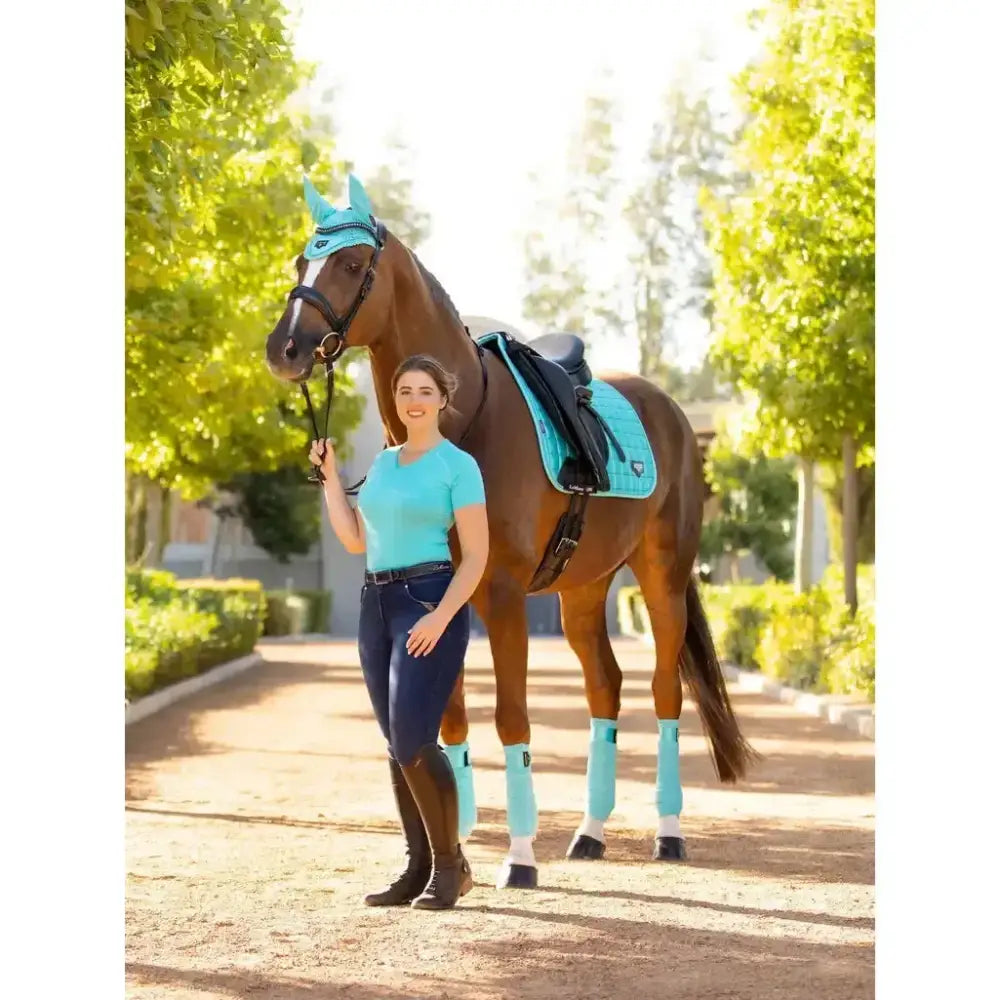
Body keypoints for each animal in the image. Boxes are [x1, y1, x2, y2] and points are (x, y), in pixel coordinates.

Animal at [265, 174, 758, 889]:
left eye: (352, 265)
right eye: (303, 260)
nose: (285, 349)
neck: (463, 418)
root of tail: (671, 411)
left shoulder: (498, 596)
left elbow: (511, 718)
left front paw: (518, 859)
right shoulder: (444, 604)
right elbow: (449, 719)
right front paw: (459, 839)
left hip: (662, 578)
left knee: (664, 693)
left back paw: (668, 833)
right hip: (584, 590)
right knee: (605, 687)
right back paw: (589, 833)